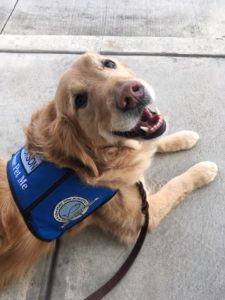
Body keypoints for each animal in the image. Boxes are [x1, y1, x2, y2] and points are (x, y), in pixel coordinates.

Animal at [0, 52, 218, 286]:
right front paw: (202, 170)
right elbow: (175, 184)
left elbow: (154, 142)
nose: (131, 93)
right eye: (80, 100)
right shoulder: (139, 217)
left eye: (109, 63)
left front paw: (183, 137)